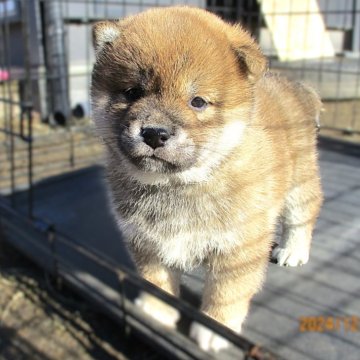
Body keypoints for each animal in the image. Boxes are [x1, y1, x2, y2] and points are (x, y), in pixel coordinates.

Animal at [90, 6, 324, 352]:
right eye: (133, 92)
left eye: (197, 101)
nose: (154, 133)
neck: (178, 185)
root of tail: (295, 87)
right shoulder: (146, 242)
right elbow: (157, 283)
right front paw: (156, 312)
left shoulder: (238, 248)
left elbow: (225, 294)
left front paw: (215, 330)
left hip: (299, 183)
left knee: (303, 216)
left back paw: (293, 251)